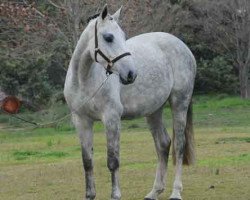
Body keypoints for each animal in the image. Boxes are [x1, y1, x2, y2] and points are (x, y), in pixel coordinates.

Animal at [63, 4, 196, 200]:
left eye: (124, 36)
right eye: (108, 37)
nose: (131, 74)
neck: (85, 80)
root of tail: (183, 46)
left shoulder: (111, 118)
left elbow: (113, 161)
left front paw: (116, 195)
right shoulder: (81, 120)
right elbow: (87, 161)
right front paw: (90, 195)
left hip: (180, 103)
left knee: (179, 146)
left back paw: (175, 192)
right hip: (154, 111)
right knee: (163, 144)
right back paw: (154, 192)